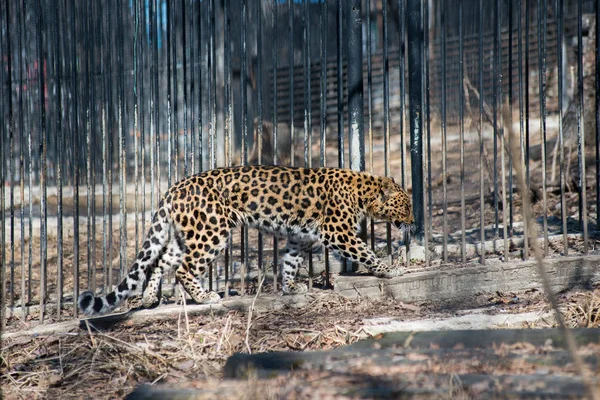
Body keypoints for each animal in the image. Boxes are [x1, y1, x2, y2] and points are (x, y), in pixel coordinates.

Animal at [77, 165, 414, 316]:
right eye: (406, 205)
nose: (412, 221)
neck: (364, 193)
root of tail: (175, 187)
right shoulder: (337, 231)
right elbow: (365, 251)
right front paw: (388, 270)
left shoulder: (299, 236)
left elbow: (290, 262)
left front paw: (290, 288)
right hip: (211, 231)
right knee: (184, 268)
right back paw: (205, 297)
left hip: (187, 233)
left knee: (161, 260)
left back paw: (149, 298)